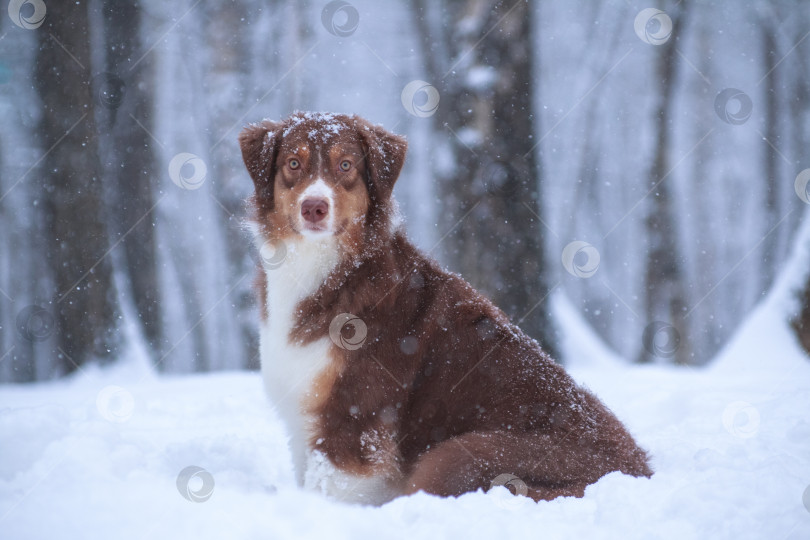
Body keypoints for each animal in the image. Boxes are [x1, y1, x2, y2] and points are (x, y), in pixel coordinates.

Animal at [235, 112, 652, 504]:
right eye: (293, 163)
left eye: (345, 165)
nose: (314, 207)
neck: (327, 269)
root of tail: (642, 472)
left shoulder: (354, 420)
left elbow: (331, 489)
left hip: (459, 454)